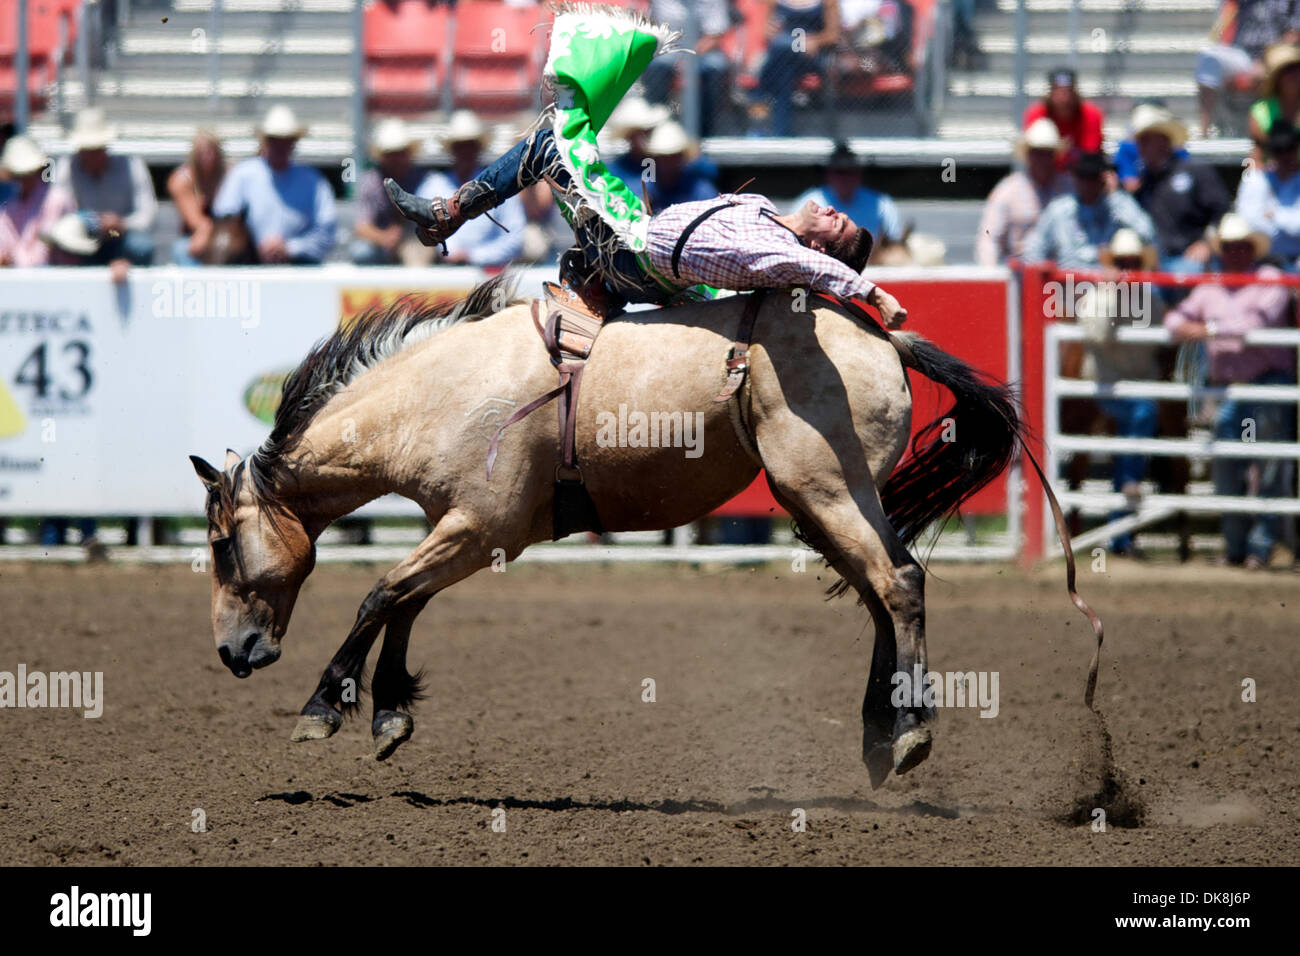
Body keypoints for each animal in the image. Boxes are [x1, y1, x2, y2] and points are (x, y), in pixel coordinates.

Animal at [188, 273, 1092, 790]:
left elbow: (380, 595)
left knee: (897, 583)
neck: (439, 395)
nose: (232, 652)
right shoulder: (469, 531)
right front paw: (389, 715)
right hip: (828, 501)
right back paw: (877, 737)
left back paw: (910, 737)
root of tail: (882, 333)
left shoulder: (479, 528)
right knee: (882, 590)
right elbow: (405, 602)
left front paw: (323, 708)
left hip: (826, 488)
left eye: (222, 545)